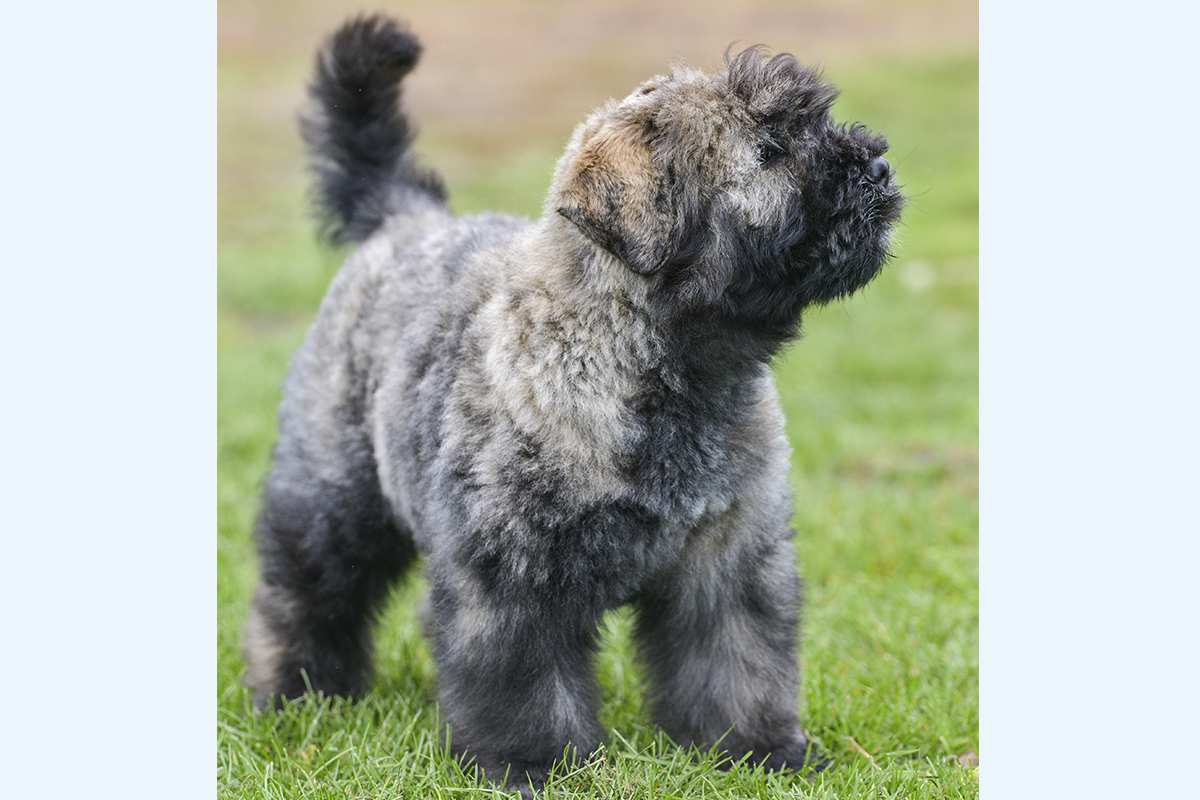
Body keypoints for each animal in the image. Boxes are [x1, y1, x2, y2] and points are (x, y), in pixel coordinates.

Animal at [241, 12, 902, 796]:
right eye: (767, 152)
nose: (879, 170)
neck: (657, 376)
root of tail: (404, 219)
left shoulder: (728, 561)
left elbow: (737, 663)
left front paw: (758, 751)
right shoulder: (514, 579)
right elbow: (524, 686)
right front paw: (531, 765)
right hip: (332, 498)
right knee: (303, 594)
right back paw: (298, 693)